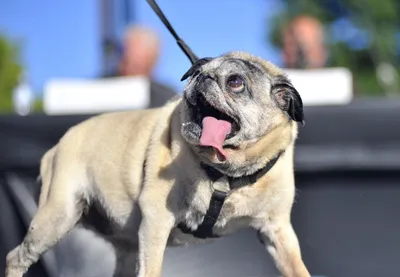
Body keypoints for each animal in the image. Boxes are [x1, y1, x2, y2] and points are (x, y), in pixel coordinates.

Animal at [5, 51, 310, 276]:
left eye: (235, 82)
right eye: (196, 72)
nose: (204, 76)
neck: (227, 173)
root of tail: (56, 147)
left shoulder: (277, 231)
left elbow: (298, 269)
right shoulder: (156, 221)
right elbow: (151, 269)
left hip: (121, 244)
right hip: (57, 217)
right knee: (15, 257)